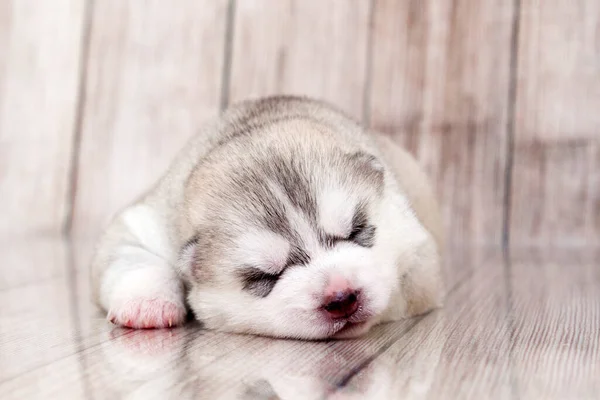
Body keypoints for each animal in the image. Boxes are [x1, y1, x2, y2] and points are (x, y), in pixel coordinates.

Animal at [90, 95, 446, 340]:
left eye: (357, 231)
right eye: (265, 276)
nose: (341, 297)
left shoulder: (420, 251)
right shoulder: (144, 224)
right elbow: (135, 260)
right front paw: (146, 305)